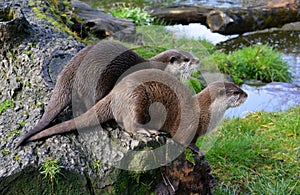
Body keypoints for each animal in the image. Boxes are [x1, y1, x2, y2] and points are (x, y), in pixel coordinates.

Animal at [15, 69, 247, 147]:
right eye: (236, 93)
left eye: (239, 88)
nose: (246, 94)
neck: (206, 112)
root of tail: (113, 94)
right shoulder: (188, 123)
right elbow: (183, 141)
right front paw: (195, 150)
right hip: (136, 98)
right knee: (127, 123)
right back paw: (147, 131)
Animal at [16, 41, 199, 148]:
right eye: (187, 59)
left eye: (192, 55)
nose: (198, 60)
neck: (159, 67)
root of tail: (71, 70)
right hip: (97, 80)